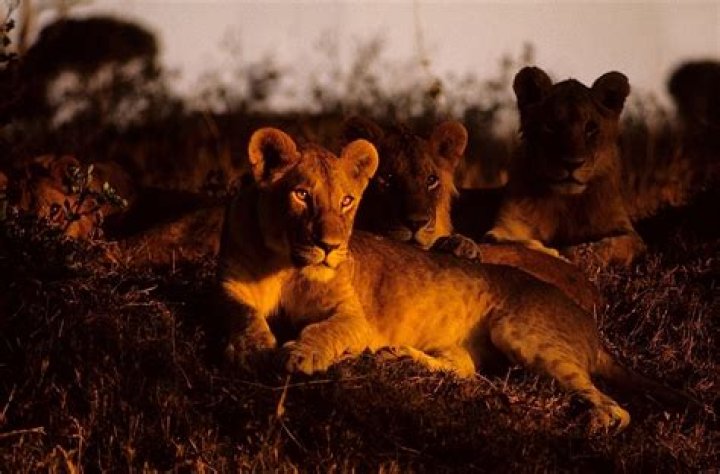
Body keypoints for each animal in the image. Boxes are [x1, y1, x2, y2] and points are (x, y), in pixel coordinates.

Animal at [486, 67, 646, 267]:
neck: (564, 202)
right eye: (551, 126)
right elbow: (514, 242)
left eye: (591, 128)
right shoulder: (504, 227)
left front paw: (573, 254)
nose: (572, 163)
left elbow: (609, 245)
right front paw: (554, 252)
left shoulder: (630, 234)